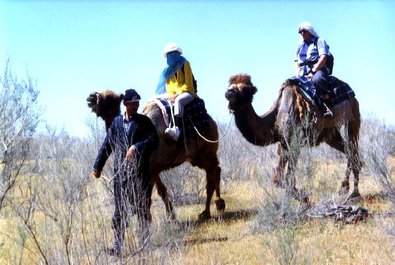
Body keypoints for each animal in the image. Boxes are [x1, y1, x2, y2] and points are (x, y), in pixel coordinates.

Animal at [87, 91, 226, 219]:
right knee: (217, 169)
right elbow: (161, 191)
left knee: (211, 178)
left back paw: (207, 212)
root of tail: (212, 121)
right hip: (195, 158)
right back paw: (219, 204)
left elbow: (147, 198)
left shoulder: (152, 169)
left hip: (207, 151)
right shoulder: (153, 168)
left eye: (109, 97)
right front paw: (171, 216)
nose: (91, 97)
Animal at [226, 73, 362, 201]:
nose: (229, 92)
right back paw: (345, 188)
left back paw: (354, 194)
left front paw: (303, 197)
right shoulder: (283, 144)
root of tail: (353, 96)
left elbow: (287, 177)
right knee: (350, 153)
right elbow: (278, 179)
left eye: (246, 89)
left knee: (354, 151)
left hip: (353, 120)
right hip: (331, 135)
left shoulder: (294, 143)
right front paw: (300, 196)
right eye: (230, 86)